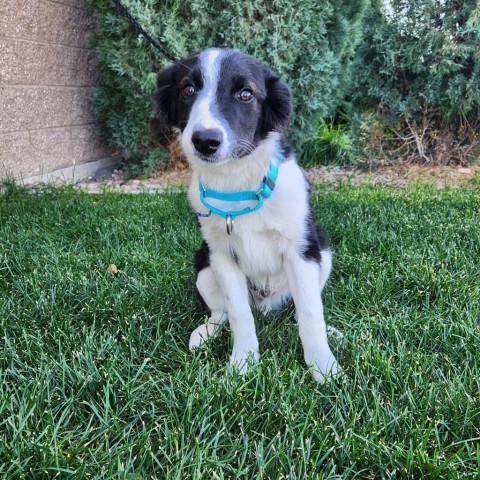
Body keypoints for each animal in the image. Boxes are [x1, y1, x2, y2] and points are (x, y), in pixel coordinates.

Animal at [156, 47, 340, 380]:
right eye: (188, 90)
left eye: (245, 94)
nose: (205, 140)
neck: (236, 181)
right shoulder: (221, 255)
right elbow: (238, 313)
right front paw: (243, 362)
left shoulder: (302, 251)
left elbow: (310, 312)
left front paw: (323, 365)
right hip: (202, 265)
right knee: (221, 312)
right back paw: (205, 333)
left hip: (323, 251)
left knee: (299, 310)